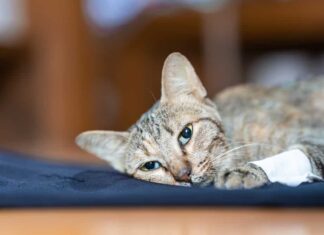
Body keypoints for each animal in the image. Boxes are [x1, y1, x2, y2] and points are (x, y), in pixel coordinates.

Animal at [75, 52, 324, 188]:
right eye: (150, 165)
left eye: (186, 133)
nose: (183, 175)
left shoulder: (314, 136)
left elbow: (297, 154)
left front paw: (245, 171)